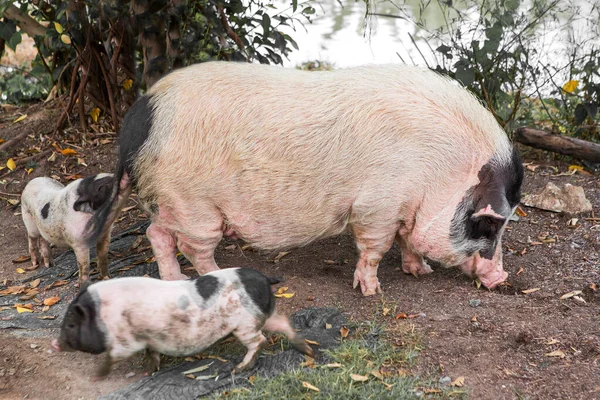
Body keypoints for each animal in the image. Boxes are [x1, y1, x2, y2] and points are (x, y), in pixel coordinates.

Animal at [86, 61, 524, 294]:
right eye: (487, 226)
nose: (502, 277)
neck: (441, 173)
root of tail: (138, 119)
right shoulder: (376, 206)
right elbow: (376, 247)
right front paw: (372, 291)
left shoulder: (405, 207)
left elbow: (407, 240)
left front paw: (420, 272)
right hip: (195, 204)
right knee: (193, 248)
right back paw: (222, 277)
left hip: (171, 201)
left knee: (156, 234)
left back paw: (174, 281)